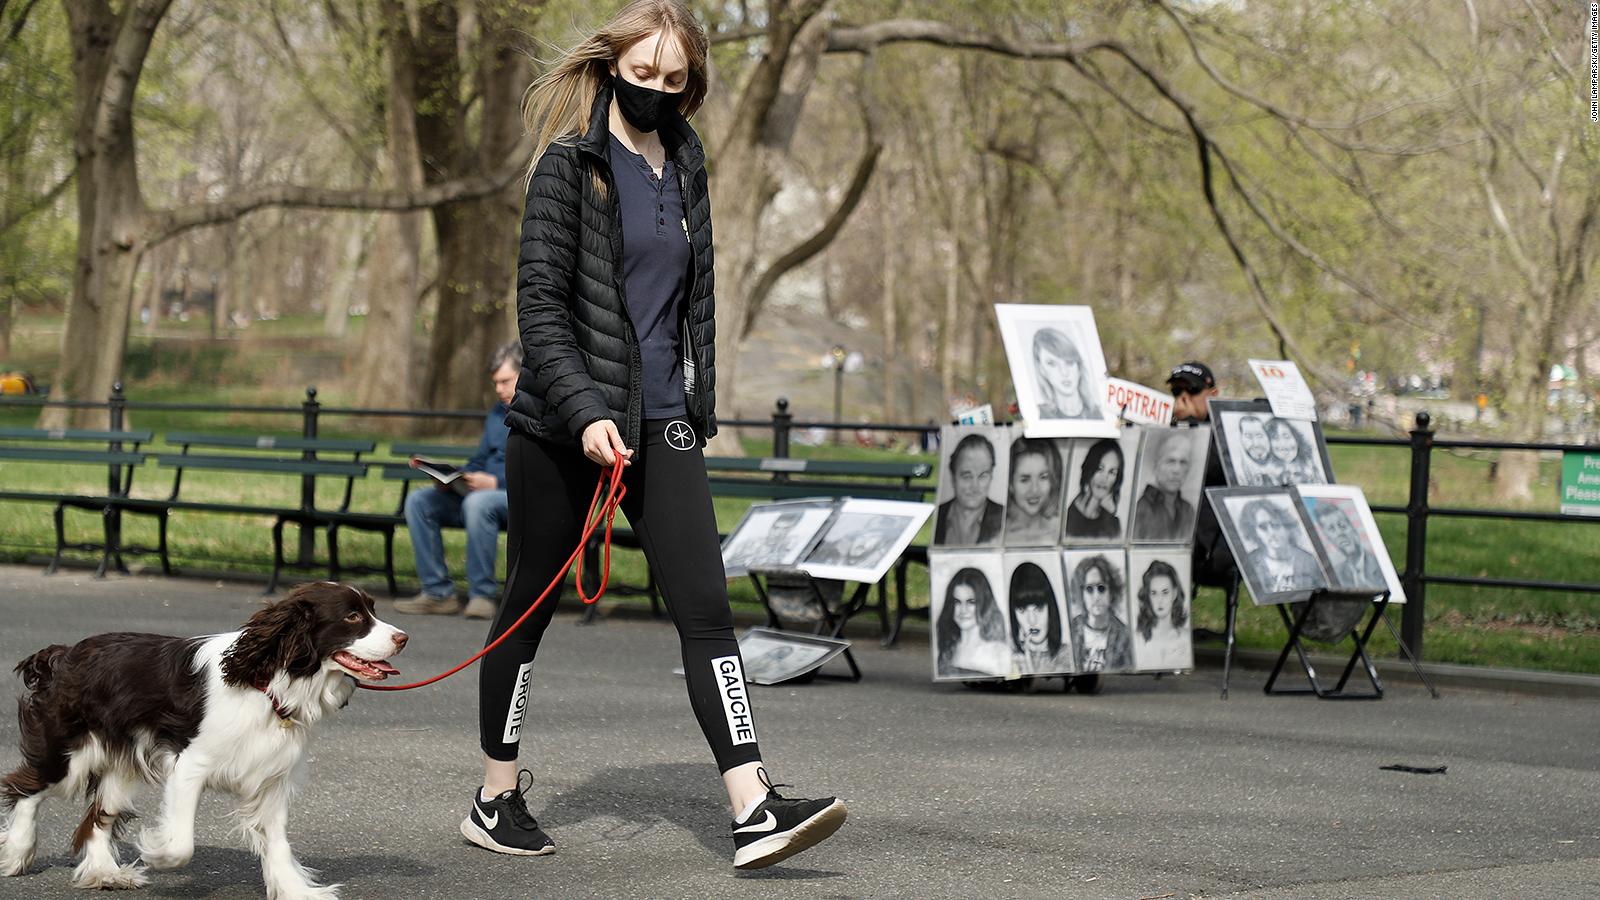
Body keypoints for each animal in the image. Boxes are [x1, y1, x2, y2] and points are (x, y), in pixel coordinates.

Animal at [0, 576, 406, 890]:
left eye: (372, 609)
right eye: (353, 616)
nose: (403, 638)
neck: (267, 681)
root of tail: (64, 654)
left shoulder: (272, 778)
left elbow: (278, 843)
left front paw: (296, 891)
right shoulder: (190, 765)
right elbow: (182, 844)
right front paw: (156, 852)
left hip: (120, 761)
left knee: (99, 815)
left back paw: (105, 872)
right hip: (70, 749)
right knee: (27, 788)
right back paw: (18, 852)